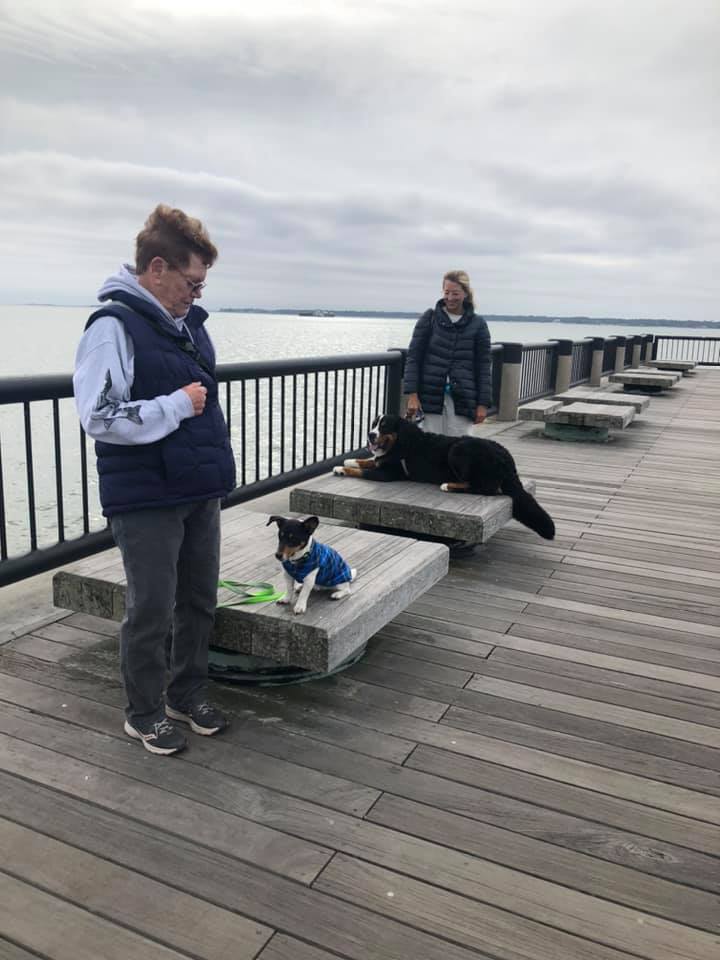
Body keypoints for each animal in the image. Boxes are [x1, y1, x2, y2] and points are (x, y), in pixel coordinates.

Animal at [334, 412, 556, 540]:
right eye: (373, 425)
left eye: (385, 426)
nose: (370, 435)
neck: (400, 442)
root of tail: (506, 456)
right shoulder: (383, 460)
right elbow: (368, 460)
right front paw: (347, 461)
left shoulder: (389, 473)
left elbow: (364, 470)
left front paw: (343, 469)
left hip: (457, 450)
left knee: (485, 488)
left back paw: (449, 485)